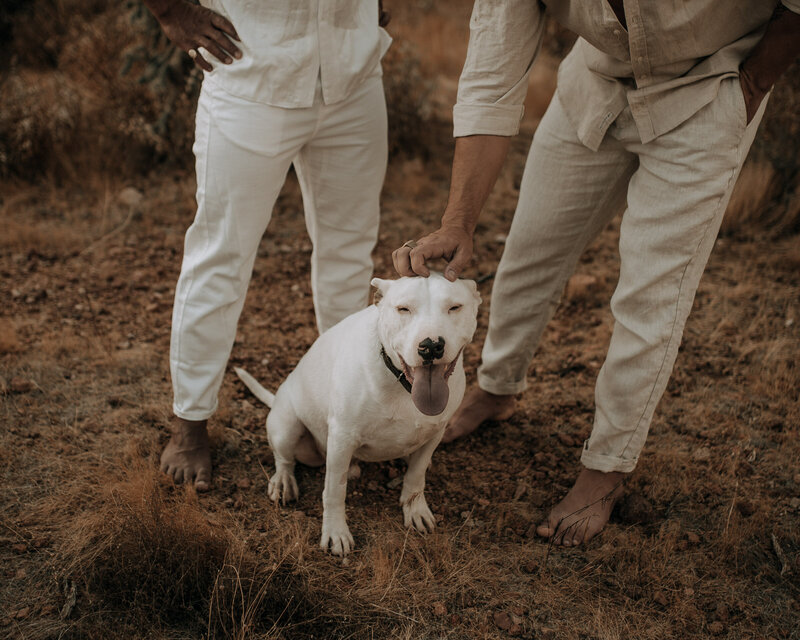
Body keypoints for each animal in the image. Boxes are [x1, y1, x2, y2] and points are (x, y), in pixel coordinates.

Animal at [233, 274, 482, 556]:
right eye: (403, 309)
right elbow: (334, 491)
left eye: (454, 307)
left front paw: (415, 509)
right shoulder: (342, 437)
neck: (401, 384)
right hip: (287, 426)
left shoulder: (435, 432)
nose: (431, 346)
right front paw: (335, 532)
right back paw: (283, 481)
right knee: (284, 459)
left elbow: (416, 477)